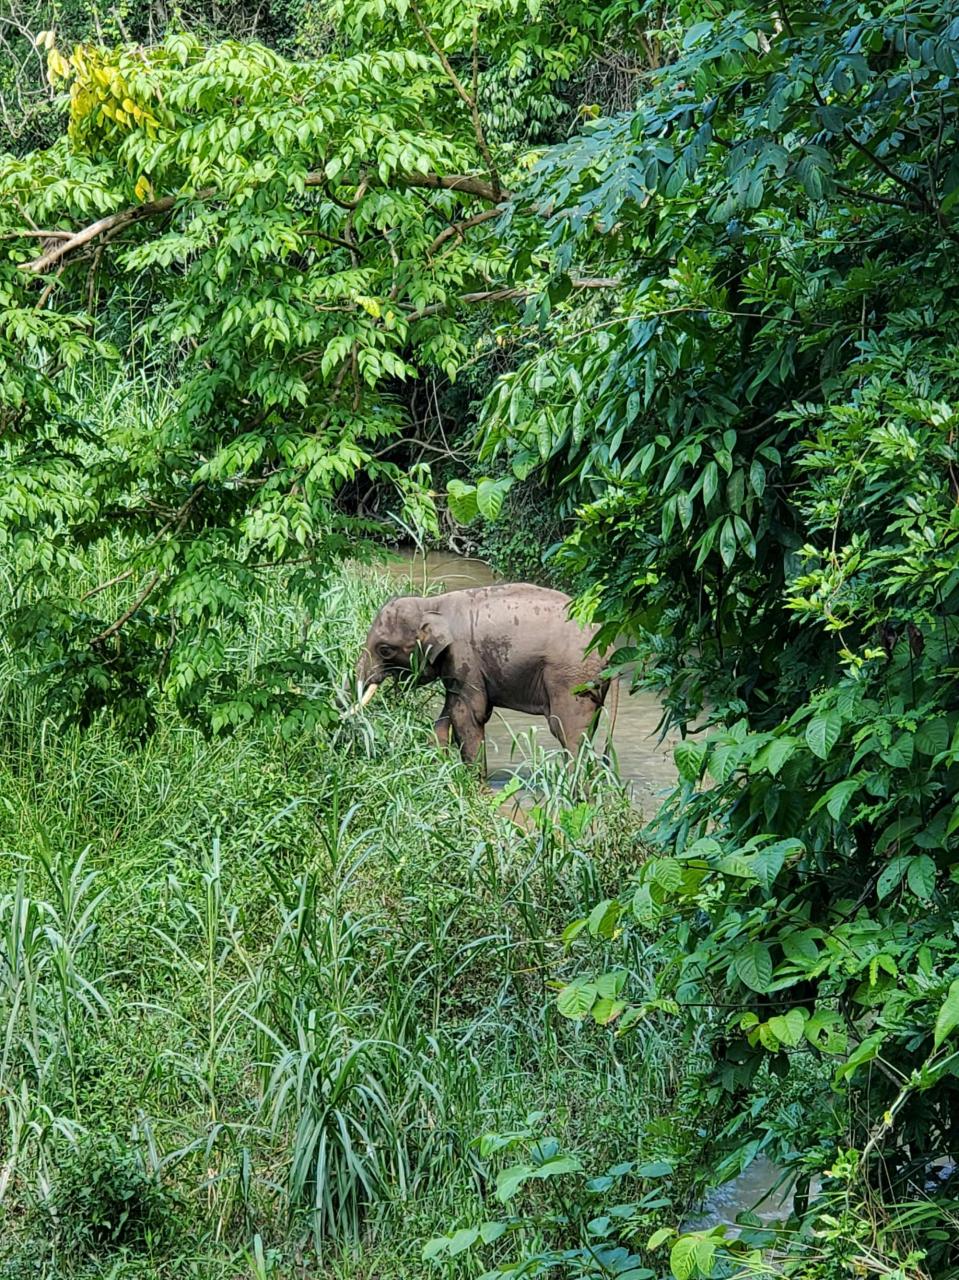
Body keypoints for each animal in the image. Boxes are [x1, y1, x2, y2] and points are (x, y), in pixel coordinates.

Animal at [350, 586, 606, 762]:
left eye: (385, 650)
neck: (432, 603)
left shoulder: (464, 655)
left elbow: (469, 714)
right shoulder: (454, 664)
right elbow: (448, 714)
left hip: (571, 678)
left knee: (568, 732)